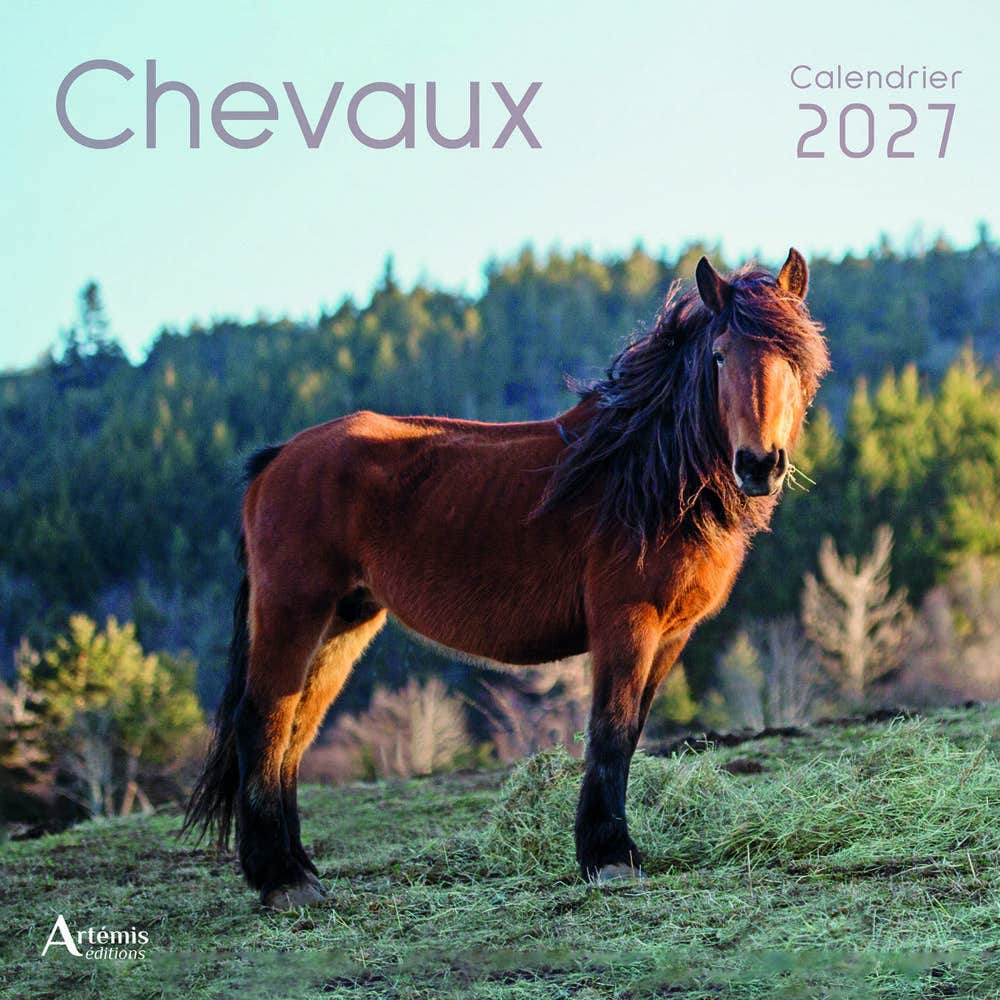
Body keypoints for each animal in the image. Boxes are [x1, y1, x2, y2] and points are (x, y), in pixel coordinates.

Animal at [184, 249, 829, 908]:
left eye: (794, 359)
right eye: (720, 355)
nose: (759, 465)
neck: (643, 478)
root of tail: (278, 458)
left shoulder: (672, 635)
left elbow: (630, 733)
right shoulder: (627, 622)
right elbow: (610, 730)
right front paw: (608, 858)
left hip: (344, 623)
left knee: (293, 731)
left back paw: (301, 871)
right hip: (294, 612)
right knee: (262, 723)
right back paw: (281, 879)